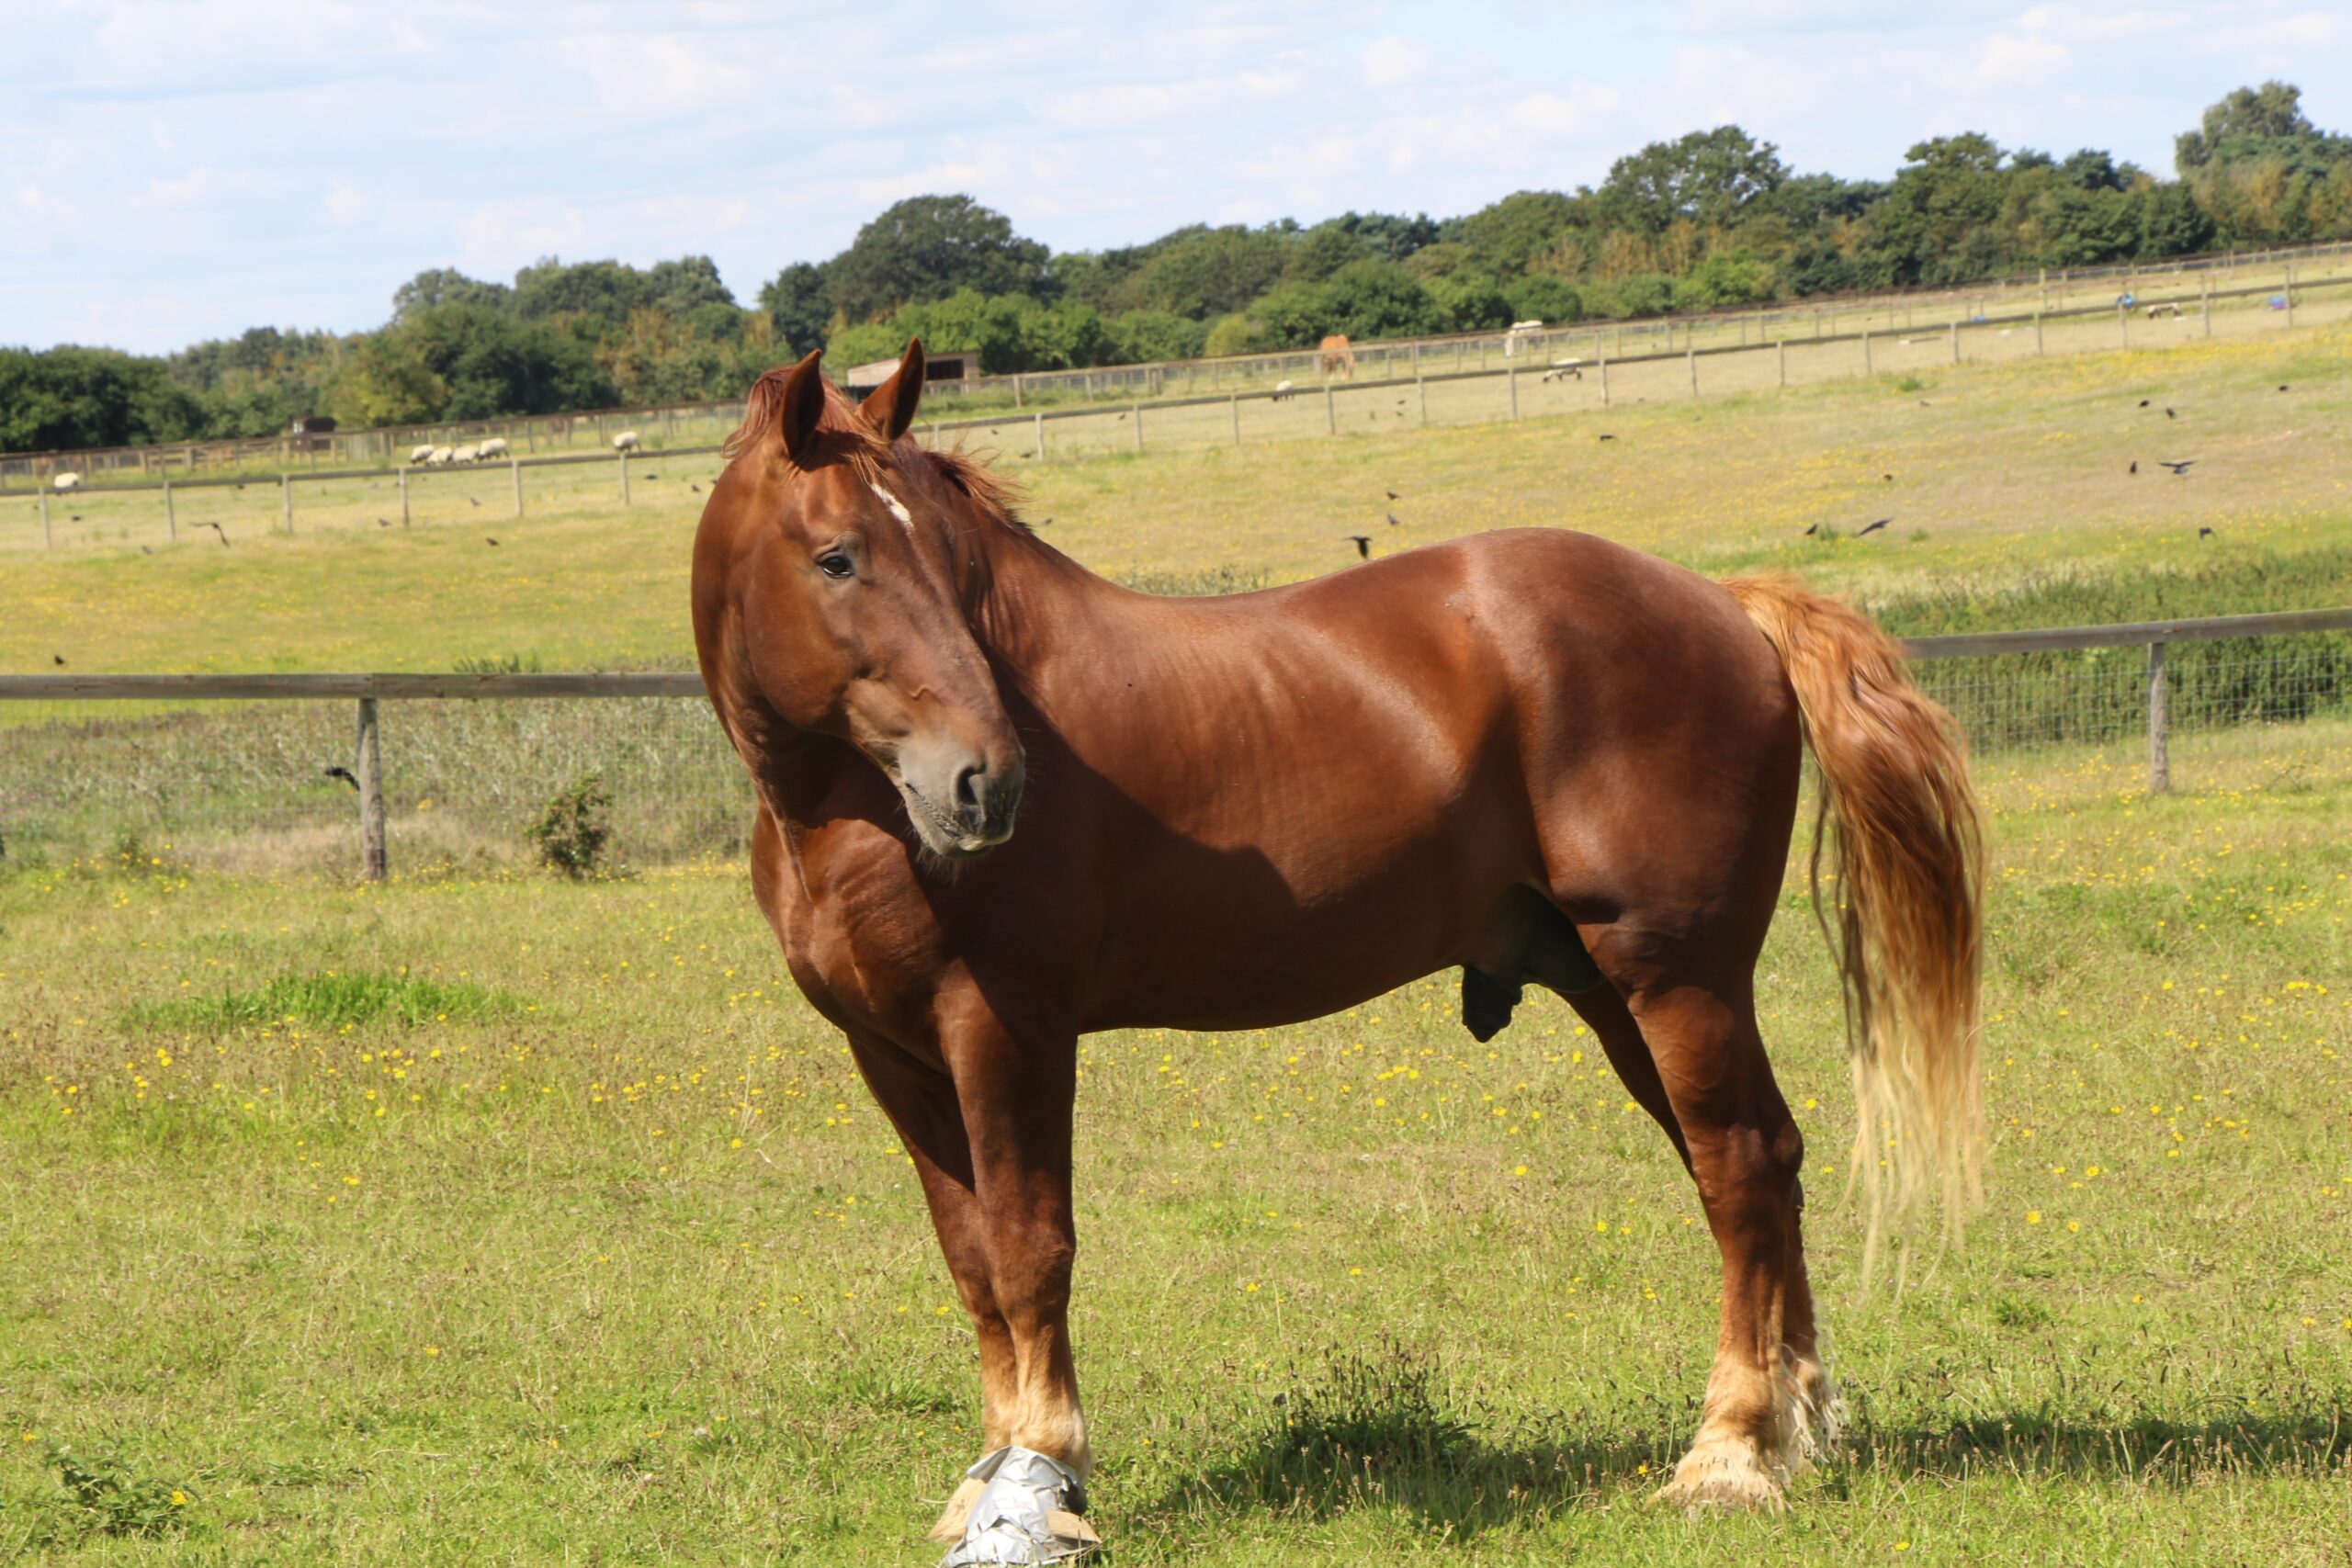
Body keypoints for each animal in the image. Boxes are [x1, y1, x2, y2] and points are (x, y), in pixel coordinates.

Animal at [691, 341, 1984, 1561]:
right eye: (838, 558)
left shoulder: (1006, 1029)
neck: (851, 812)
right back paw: (1799, 1428)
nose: (986, 782)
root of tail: (1721, 600)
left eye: (948, 567)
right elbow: (968, 1261)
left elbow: (1027, 1249)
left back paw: (1728, 1455)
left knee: (1738, 1169)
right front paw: (985, 1484)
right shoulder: (895, 1054)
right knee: (1767, 1161)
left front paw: (1046, 1475)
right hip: (1623, 992)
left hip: (1674, 978)